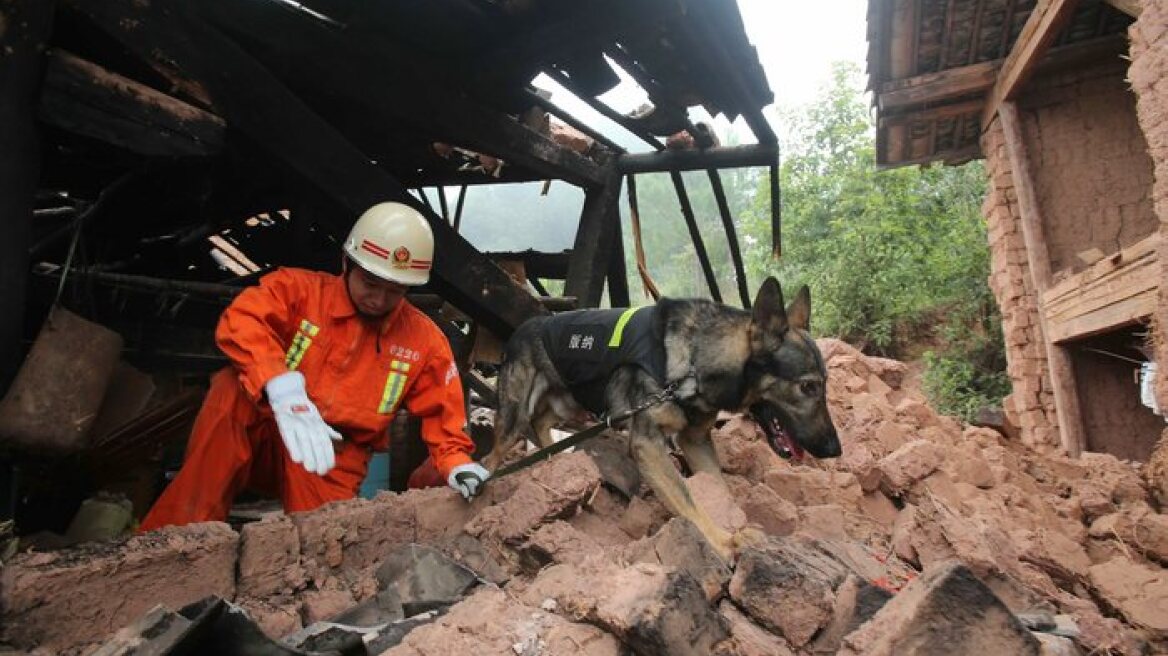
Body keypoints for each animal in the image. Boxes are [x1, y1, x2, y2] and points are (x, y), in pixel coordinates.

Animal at [483, 275, 840, 555]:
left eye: (823, 385)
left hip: (569, 402)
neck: (697, 361)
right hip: (514, 419)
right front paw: (722, 542)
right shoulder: (648, 445)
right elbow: (688, 499)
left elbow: (718, 489)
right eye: (808, 386)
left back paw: (554, 462)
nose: (835, 450)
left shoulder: (695, 441)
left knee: (541, 423)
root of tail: (522, 328)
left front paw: (736, 525)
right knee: (495, 454)